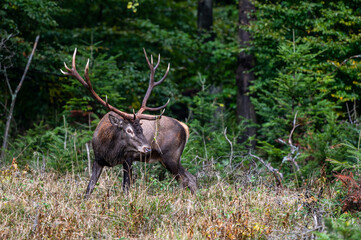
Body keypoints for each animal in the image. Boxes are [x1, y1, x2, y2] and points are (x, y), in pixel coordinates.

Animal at [62, 47, 197, 198]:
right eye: (128, 130)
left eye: (141, 129)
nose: (148, 148)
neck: (109, 151)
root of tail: (185, 128)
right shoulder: (97, 159)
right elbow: (89, 188)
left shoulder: (128, 158)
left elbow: (126, 188)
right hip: (167, 159)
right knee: (188, 178)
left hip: (171, 155)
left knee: (188, 179)